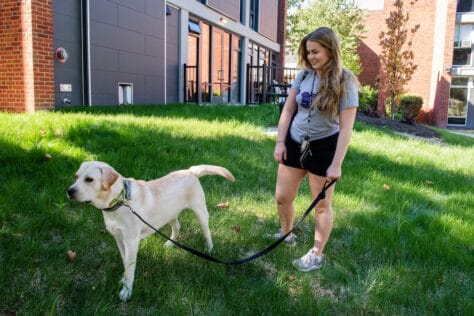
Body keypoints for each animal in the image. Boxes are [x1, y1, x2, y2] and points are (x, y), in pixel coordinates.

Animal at [67, 162, 235, 300]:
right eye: (76, 177)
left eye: (89, 179)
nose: (69, 191)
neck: (119, 201)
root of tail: (190, 171)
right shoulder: (119, 239)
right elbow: (126, 263)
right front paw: (123, 280)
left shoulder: (131, 242)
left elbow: (131, 268)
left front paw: (127, 291)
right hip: (169, 214)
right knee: (177, 226)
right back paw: (170, 244)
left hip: (200, 211)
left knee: (206, 231)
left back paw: (209, 249)